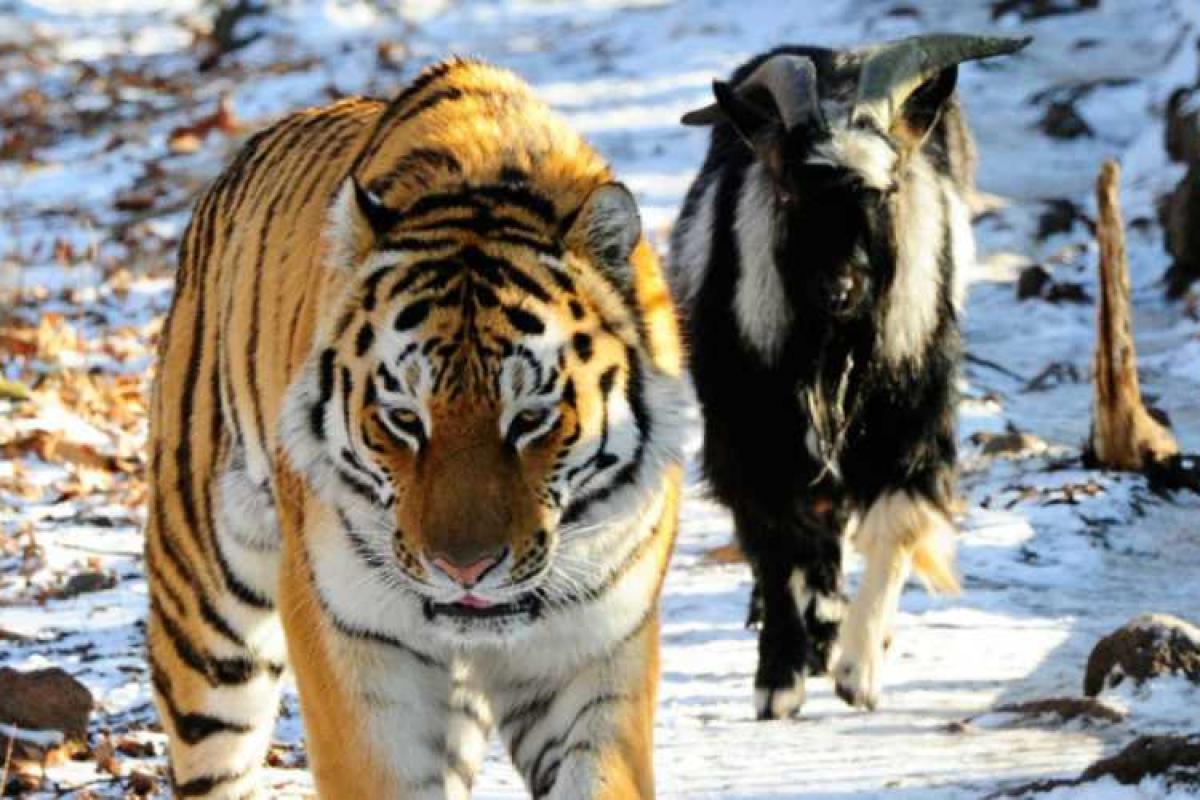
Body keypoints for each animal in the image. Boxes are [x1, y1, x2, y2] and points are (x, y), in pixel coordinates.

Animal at [145, 57, 687, 799]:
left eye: (531, 419)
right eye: (405, 419)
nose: (464, 569)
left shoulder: (594, 649)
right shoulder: (351, 640)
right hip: (206, 619)